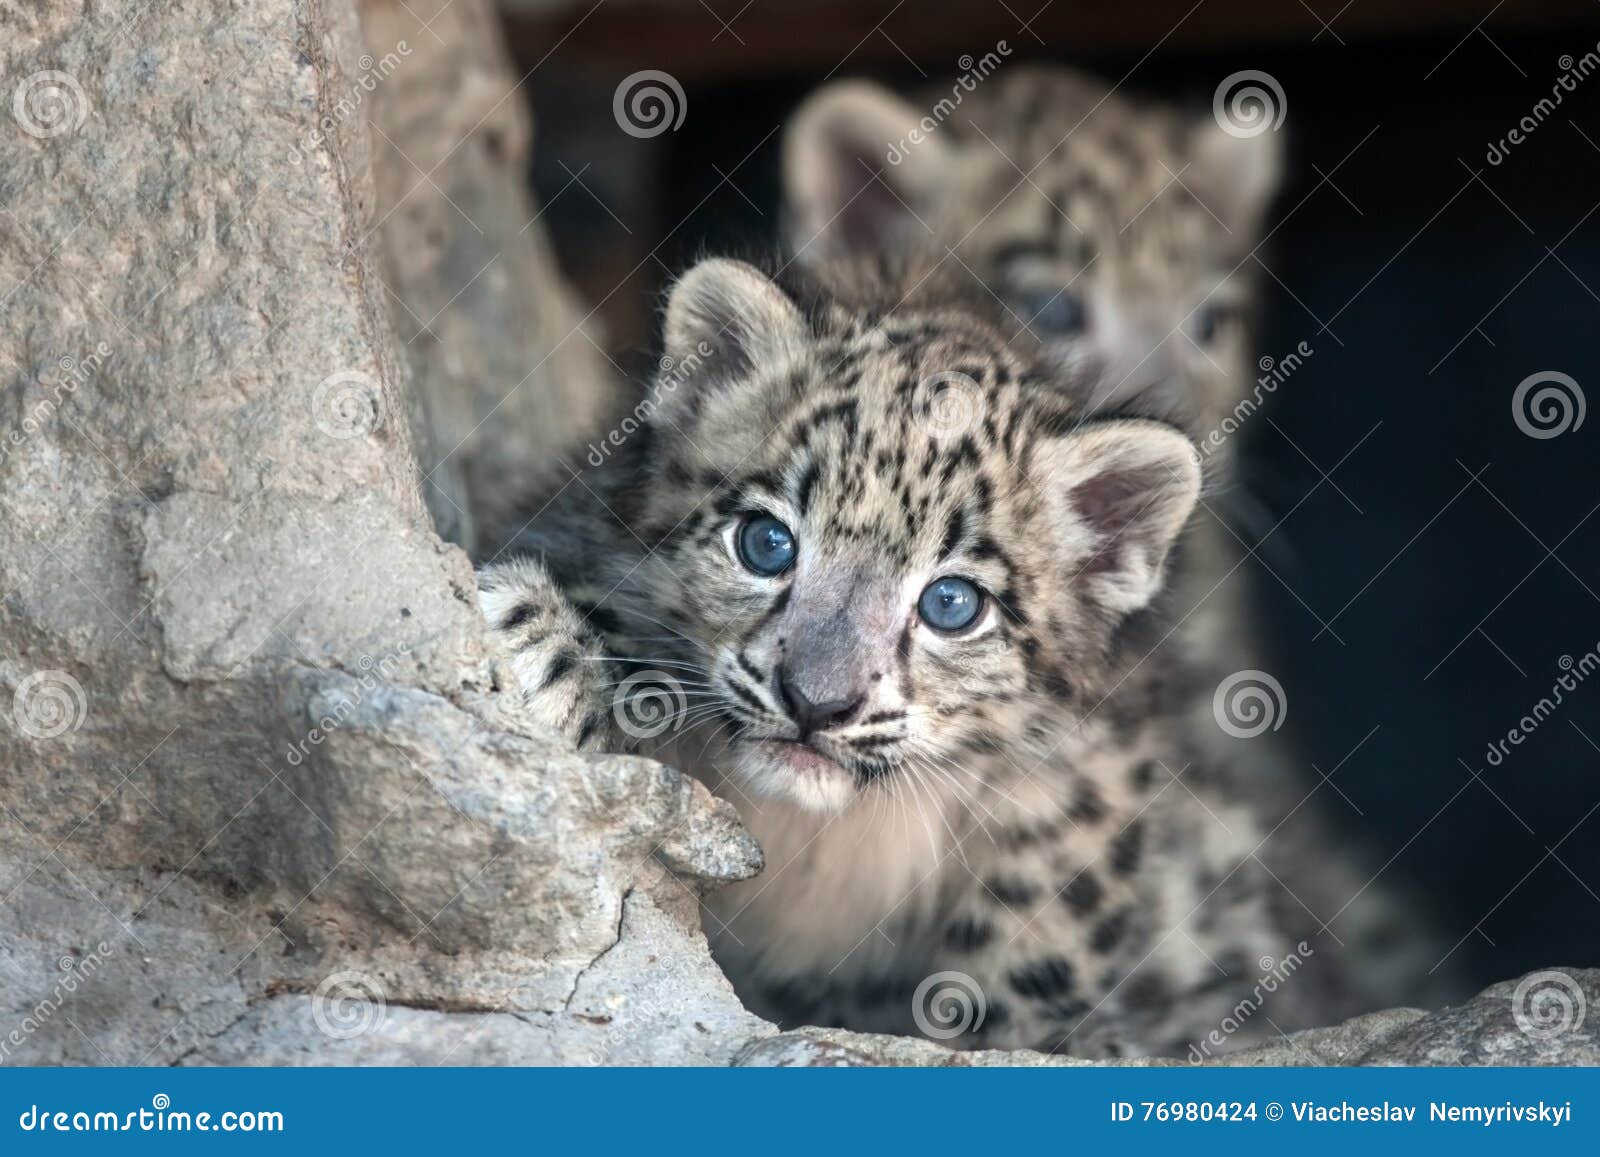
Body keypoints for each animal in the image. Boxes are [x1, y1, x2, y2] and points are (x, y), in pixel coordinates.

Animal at [478, 252, 1352, 1057]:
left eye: (952, 603)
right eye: (766, 542)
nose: (816, 701)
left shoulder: (1083, 787)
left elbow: (1049, 926)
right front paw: (546, 639)